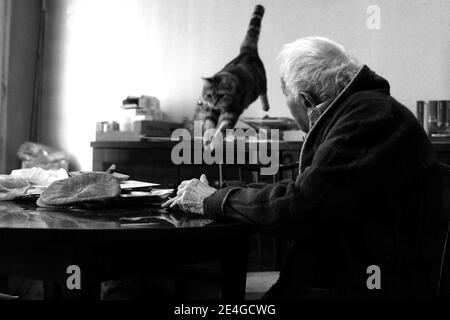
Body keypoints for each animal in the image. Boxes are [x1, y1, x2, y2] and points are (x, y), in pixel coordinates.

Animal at [201, 4, 270, 142]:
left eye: (221, 95)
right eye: (209, 95)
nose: (215, 102)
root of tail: (246, 51)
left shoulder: (231, 113)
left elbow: (222, 128)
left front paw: (214, 142)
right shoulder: (210, 110)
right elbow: (209, 124)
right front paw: (207, 140)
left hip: (262, 81)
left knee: (264, 92)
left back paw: (266, 107)